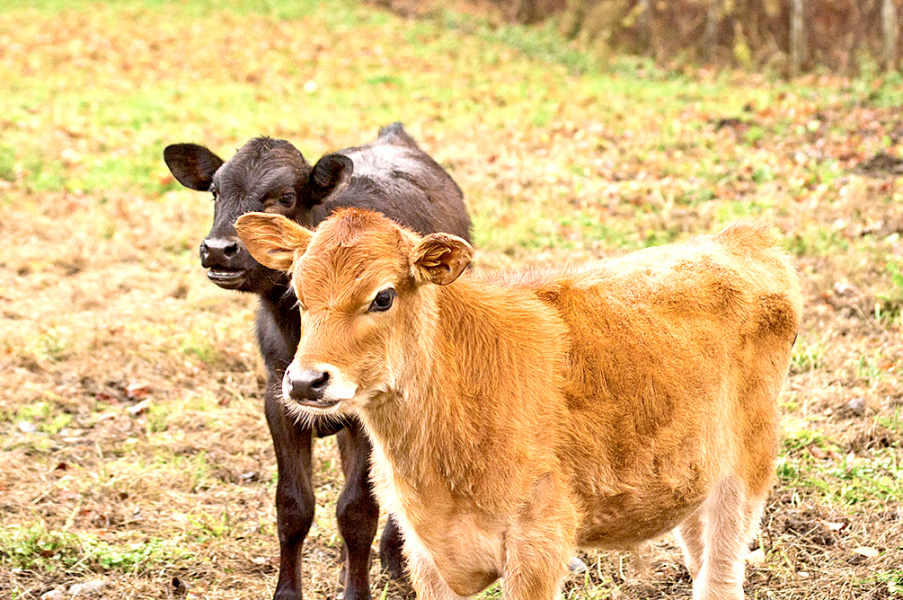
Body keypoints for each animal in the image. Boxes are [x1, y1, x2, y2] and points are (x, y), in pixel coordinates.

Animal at [163, 124, 471, 600]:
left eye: (286, 197)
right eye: (215, 191)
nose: (218, 250)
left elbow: (357, 510)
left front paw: (358, 592)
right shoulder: (278, 402)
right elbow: (293, 507)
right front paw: (289, 592)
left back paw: (395, 560)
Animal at [234, 208, 802, 600]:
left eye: (383, 296)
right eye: (297, 295)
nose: (306, 382)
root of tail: (740, 239)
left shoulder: (539, 543)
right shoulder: (425, 553)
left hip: (745, 471)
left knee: (721, 576)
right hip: (690, 472)